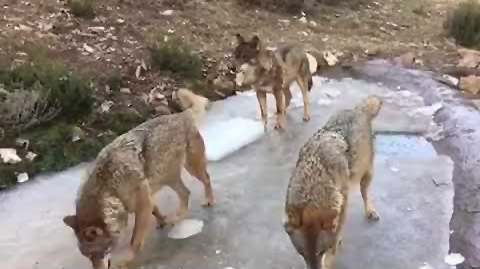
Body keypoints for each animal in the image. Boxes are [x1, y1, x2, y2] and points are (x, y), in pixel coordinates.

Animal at [63, 88, 214, 268]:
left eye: (97, 253)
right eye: (87, 256)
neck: (108, 187)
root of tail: (180, 115)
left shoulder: (142, 203)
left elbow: (134, 240)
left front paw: (126, 261)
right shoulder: (145, 198)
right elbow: (156, 212)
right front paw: (162, 221)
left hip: (191, 168)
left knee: (206, 179)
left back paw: (208, 201)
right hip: (167, 177)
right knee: (186, 193)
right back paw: (178, 218)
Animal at [284, 96, 382, 268]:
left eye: (320, 252)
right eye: (302, 254)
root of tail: (357, 109)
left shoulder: (342, 206)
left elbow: (334, 242)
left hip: (366, 174)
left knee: (365, 194)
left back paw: (370, 211)